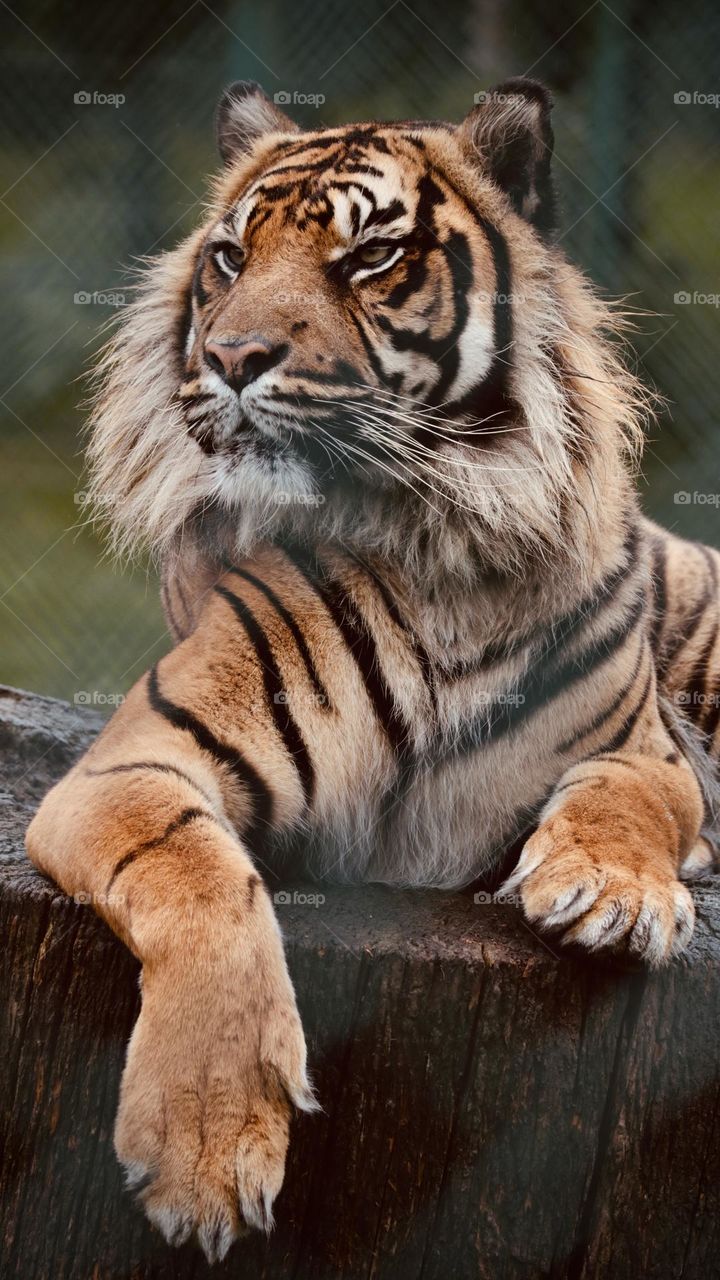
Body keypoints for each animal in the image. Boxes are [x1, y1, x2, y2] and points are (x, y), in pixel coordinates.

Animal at [25, 77, 720, 1262]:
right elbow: (205, 880)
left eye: (369, 257)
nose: (233, 357)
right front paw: (207, 1147)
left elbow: (626, 801)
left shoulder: (647, 754)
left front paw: (612, 893)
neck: (442, 549)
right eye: (229, 257)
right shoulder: (134, 768)